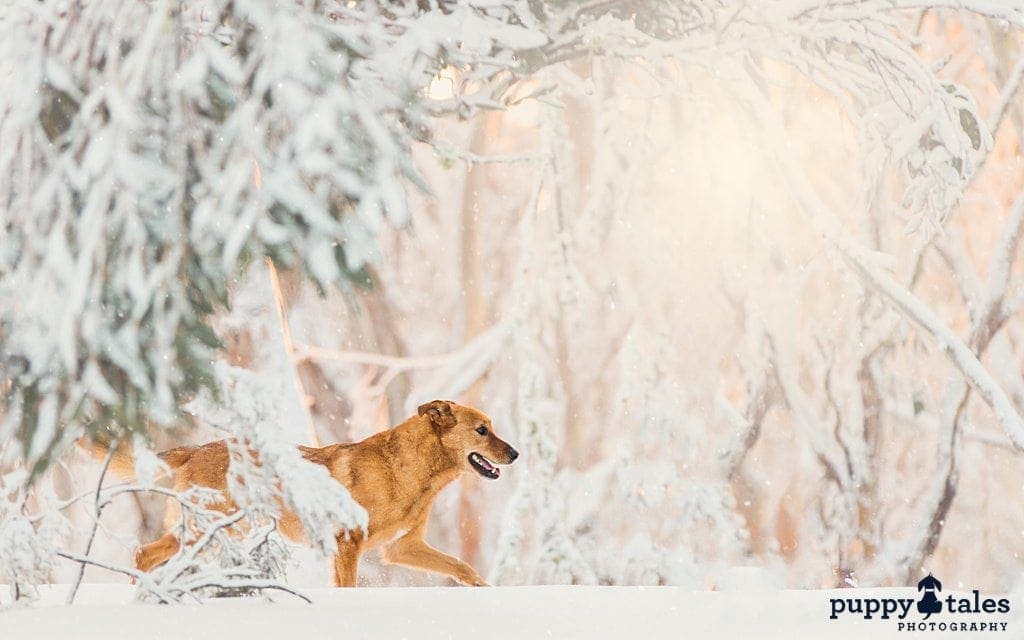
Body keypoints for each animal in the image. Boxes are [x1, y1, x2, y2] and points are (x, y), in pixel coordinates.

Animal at [89, 399, 520, 589]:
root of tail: (194, 449)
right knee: (145, 554)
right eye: (482, 430)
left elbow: (461, 567)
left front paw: (486, 593)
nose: (515, 453)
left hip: (216, 533)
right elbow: (347, 587)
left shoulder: (401, 547)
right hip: (207, 531)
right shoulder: (348, 543)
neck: (414, 472)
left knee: (150, 555)